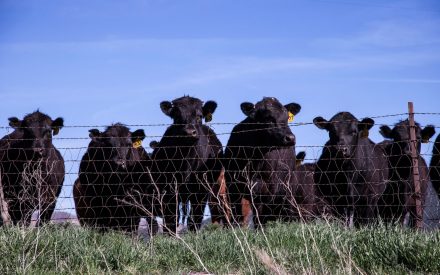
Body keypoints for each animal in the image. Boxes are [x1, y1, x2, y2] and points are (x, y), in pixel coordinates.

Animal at [151, 96, 223, 234]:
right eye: (176, 116)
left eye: (199, 116)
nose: (189, 132)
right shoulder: (169, 191)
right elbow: (171, 219)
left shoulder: (201, 192)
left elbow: (195, 219)